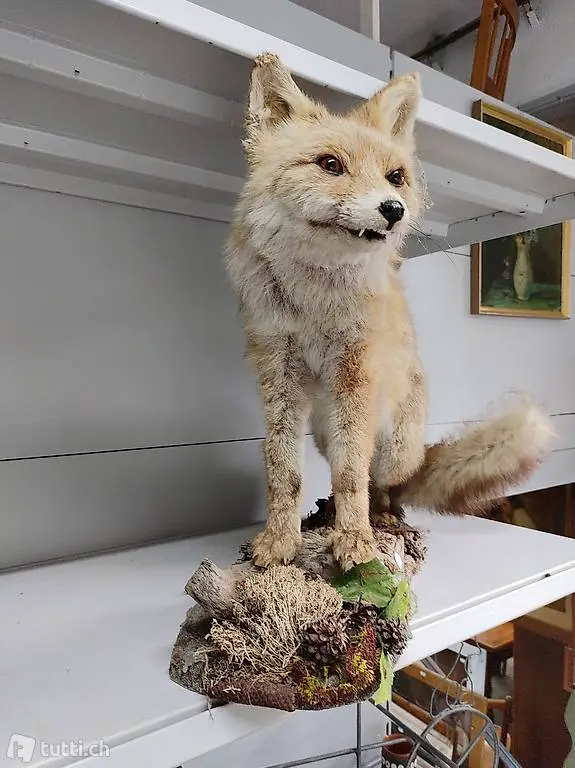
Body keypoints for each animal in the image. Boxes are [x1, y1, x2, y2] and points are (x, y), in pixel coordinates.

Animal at [225, 53, 554, 570]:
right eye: (331, 165)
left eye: (394, 176)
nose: (394, 209)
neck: (314, 302)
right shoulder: (278, 370)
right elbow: (283, 470)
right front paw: (279, 542)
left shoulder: (355, 372)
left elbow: (350, 473)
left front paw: (354, 541)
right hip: (323, 428)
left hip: (393, 446)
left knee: (381, 482)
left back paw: (381, 519)